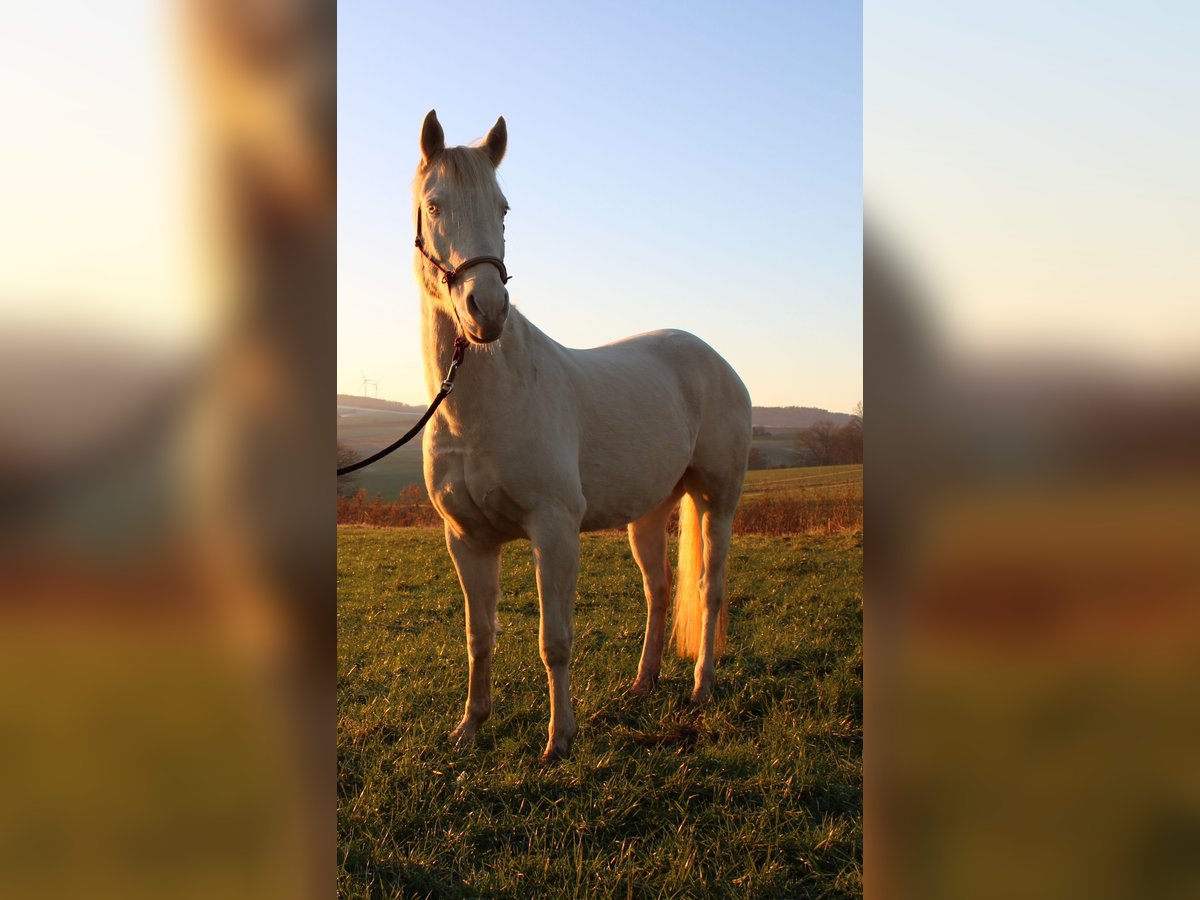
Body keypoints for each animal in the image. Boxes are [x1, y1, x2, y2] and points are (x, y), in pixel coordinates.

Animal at [412, 109, 748, 763]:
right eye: (434, 205)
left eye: (504, 208)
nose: (486, 309)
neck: (482, 405)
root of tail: (713, 360)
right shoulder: (467, 540)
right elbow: (479, 636)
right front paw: (470, 727)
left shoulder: (554, 530)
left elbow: (555, 640)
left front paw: (559, 740)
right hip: (648, 513)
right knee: (659, 591)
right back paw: (644, 683)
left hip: (716, 500)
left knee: (709, 589)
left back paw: (701, 688)